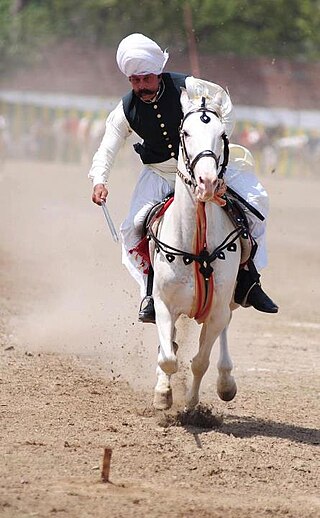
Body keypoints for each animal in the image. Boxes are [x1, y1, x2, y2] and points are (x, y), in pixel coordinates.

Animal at [150, 90, 242, 414]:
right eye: (186, 133)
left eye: (222, 134)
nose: (208, 183)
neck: (196, 246)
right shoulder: (163, 304)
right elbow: (168, 357)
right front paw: (163, 395)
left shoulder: (216, 311)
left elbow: (200, 361)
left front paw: (190, 405)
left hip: (227, 303)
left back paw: (226, 382)